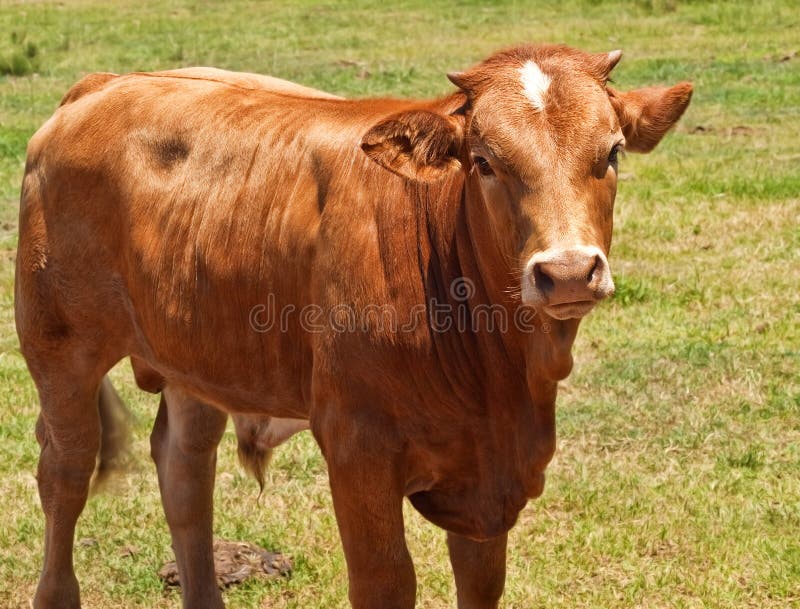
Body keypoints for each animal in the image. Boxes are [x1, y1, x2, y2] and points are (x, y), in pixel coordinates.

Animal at [16, 44, 692, 609]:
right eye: (483, 162)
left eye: (612, 152)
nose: (569, 272)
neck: (501, 378)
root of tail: (105, 83)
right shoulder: (356, 444)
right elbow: (386, 581)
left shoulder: (488, 481)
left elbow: (480, 581)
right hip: (58, 347)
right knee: (65, 472)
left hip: (198, 358)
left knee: (184, 472)